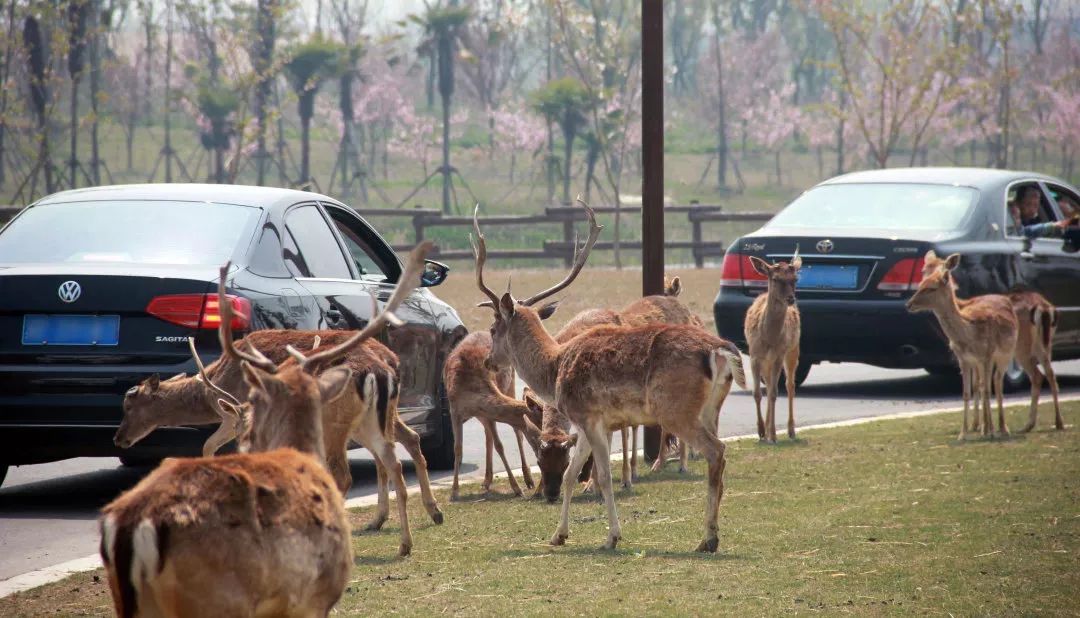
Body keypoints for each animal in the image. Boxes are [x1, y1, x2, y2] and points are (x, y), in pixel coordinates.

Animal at [442, 330, 540, 499]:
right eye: (540, 423)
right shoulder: (455, 411)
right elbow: (458, 449)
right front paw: (454, 492)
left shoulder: (487, 413)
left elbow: (499, 445)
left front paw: (517, 488)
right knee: (488, 437)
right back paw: (487, 481)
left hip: (510, 383)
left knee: (516, 433)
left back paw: (528, 479)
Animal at [473, 197, 743, 551]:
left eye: (493, 329)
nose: (489, 361)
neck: (555, 368)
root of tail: (720, 350)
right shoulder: (585, 424)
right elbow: (572, 474)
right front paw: (558, 535)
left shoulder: (589, 416)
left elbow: (601, 475)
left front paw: (612, 537)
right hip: (711, 407)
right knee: (718, 455)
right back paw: (711, 535)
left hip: (676, 409)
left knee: (716, 451)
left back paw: (707, 539)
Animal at [743, 248, 803, 440]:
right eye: (776, 279)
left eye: (795, 279)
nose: (791, 299)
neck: (769, 338)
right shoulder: (754, 355)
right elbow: (757, 393)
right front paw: (761, 431)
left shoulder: (778, 354)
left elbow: (774, 394)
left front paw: (773, 434)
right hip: (766, 362)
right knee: (769, 384)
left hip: (793, 350)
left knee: (789, 386)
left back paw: (790, 430)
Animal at [907, 250, 1015, 438]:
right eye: (921, 281)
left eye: (931, 288)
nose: (909, 304)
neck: (969, 332)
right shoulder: (963, 359)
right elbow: (966, 392)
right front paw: (964, 433)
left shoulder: (986, 355)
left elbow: (986, 390)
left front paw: (989, 431)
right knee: (986, 384)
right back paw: (986, 427)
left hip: (1006, 354)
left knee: (997, 384)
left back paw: (1002, 428)